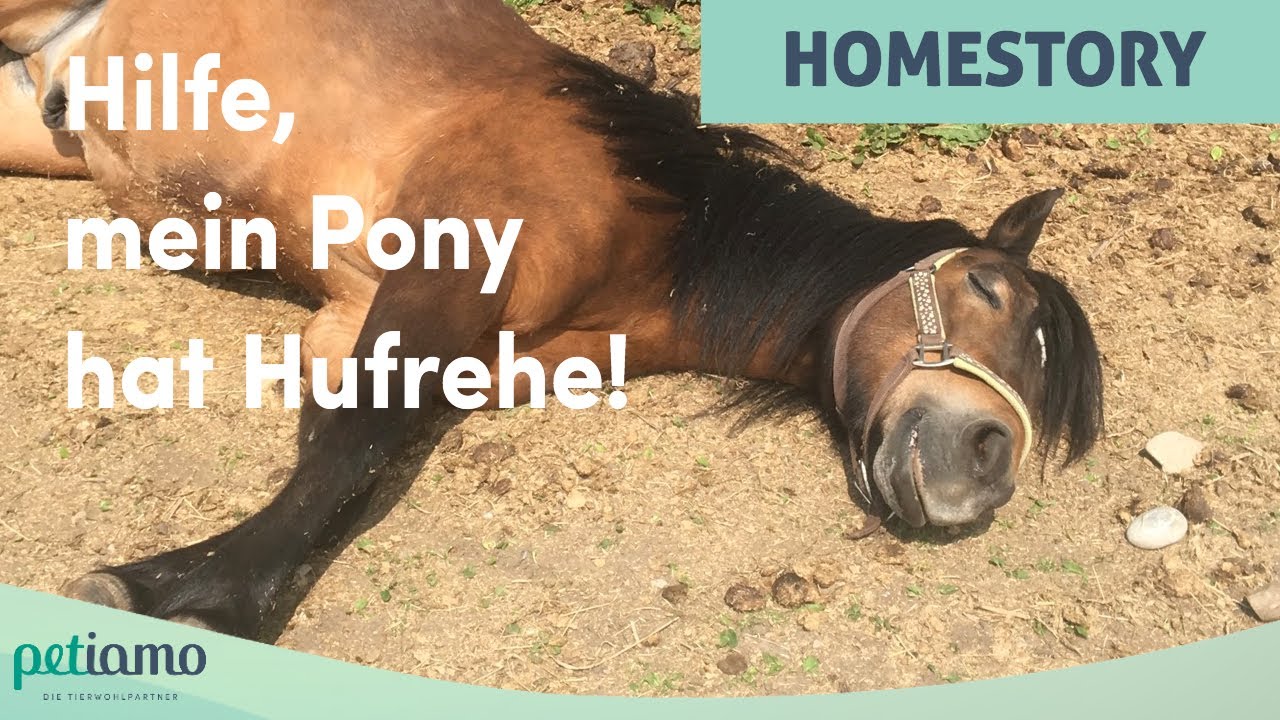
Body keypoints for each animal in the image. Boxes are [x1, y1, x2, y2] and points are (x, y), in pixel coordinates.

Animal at [0, 0, 1104, 640]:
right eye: (988, 291)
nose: (986, 468)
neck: (655, 217)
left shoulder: (403, 336)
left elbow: (346, 461)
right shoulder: (443, 268)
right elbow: (348, 455)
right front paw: (181, 593)